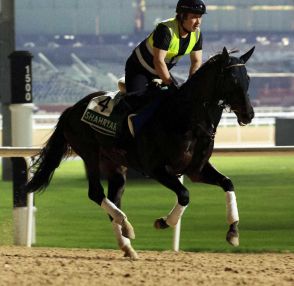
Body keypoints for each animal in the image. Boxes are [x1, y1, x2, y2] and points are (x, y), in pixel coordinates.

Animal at [24, 46, 255, 260]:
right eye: (232, 79)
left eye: (248, 79)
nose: (249, 114)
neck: (186, 118)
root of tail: (72, 109)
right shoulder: (156, 168)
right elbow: (184, 194)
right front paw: (164, 222)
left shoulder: (196, 170)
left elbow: (227, 183)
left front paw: (233, 231)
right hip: (89, 152)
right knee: (95, 193)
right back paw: (126, 224)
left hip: (114, 164)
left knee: (113, 198)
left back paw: (127, 245)